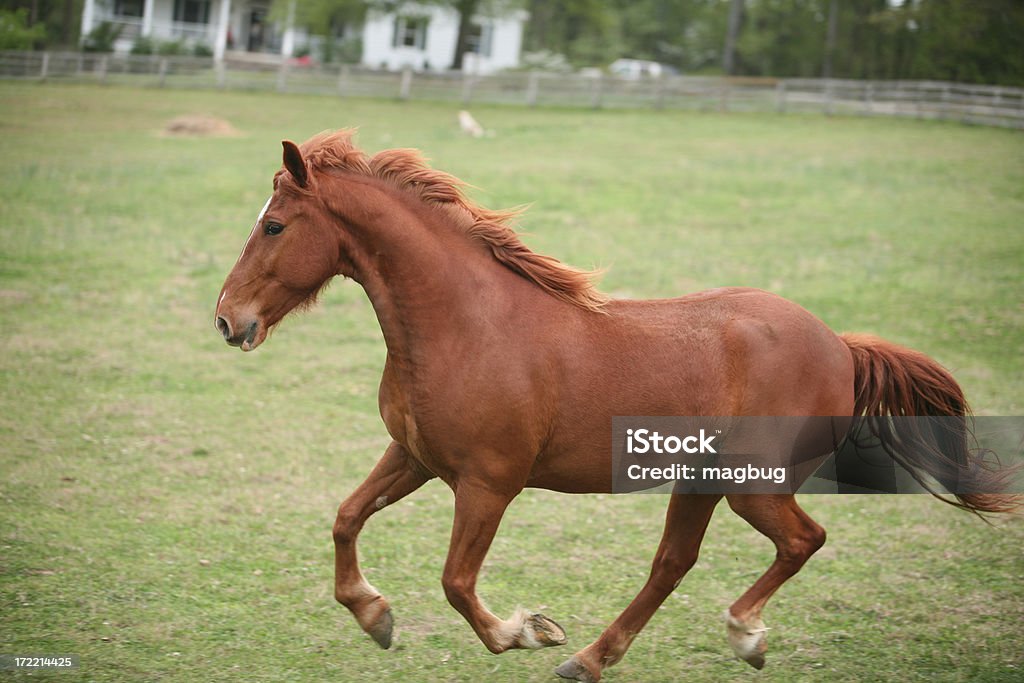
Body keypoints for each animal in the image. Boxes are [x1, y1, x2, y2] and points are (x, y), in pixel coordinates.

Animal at [214, 131, 1015, 679]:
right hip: (700, 482)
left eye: (275, 225)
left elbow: (456, 582)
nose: (227, 320)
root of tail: (840, 346)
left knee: (801, 540)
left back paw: (742, 633)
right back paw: (593, 658)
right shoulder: (414, 456)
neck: (466, 324)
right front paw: (375, 615)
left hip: (752, 486)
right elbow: (346, 517)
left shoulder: (488, 483)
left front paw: (523, 630)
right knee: (673, 563)